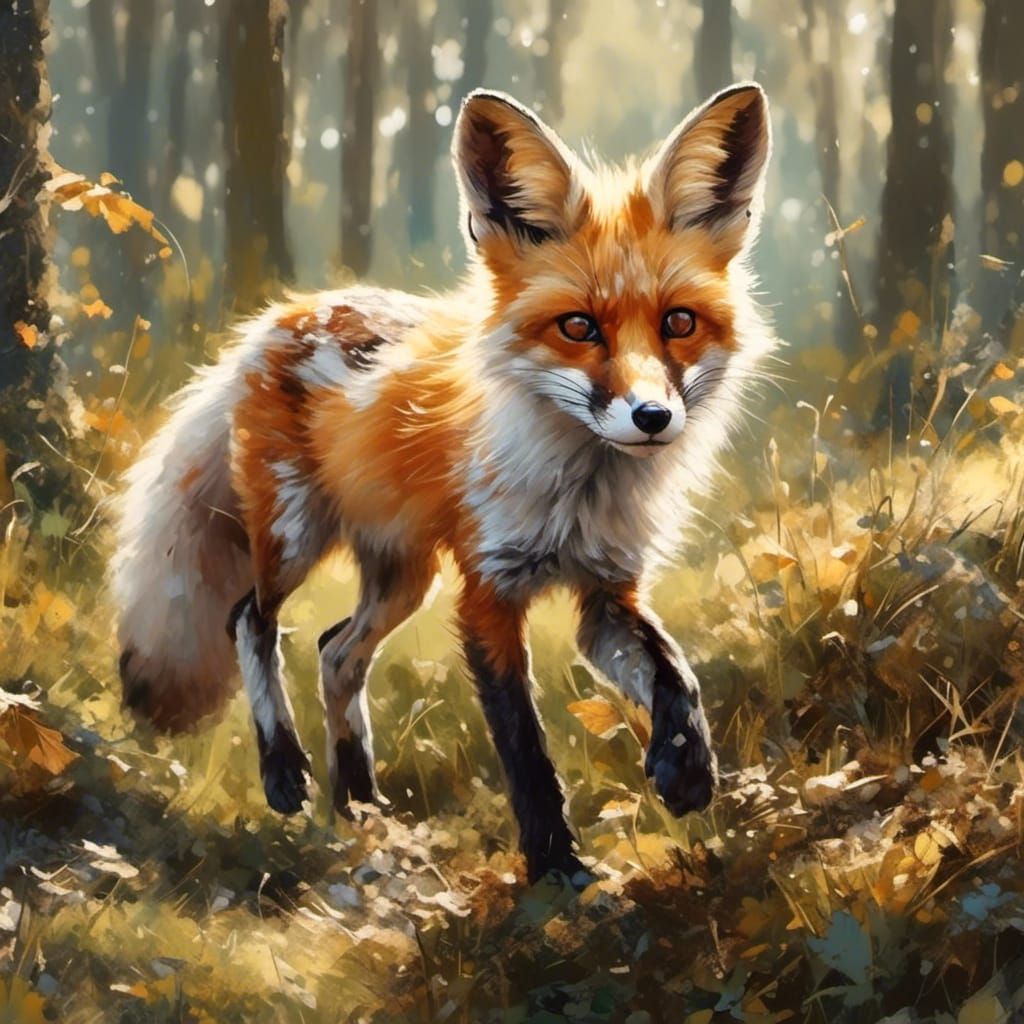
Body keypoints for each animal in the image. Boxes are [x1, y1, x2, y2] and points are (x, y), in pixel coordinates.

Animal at [112, 83, 774, 883]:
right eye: (578, 327)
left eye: (678, 322)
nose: (652, 417)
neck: (578, 496)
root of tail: (274, 318)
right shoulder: (486, 593)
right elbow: (525, 748)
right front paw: (557, 869)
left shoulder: (607, 592)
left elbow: (676, 673)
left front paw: (687, 771)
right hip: (296, 535)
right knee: (250, 619)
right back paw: (283, 770)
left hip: (405, 574)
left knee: (335, 651)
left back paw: (358, 802)